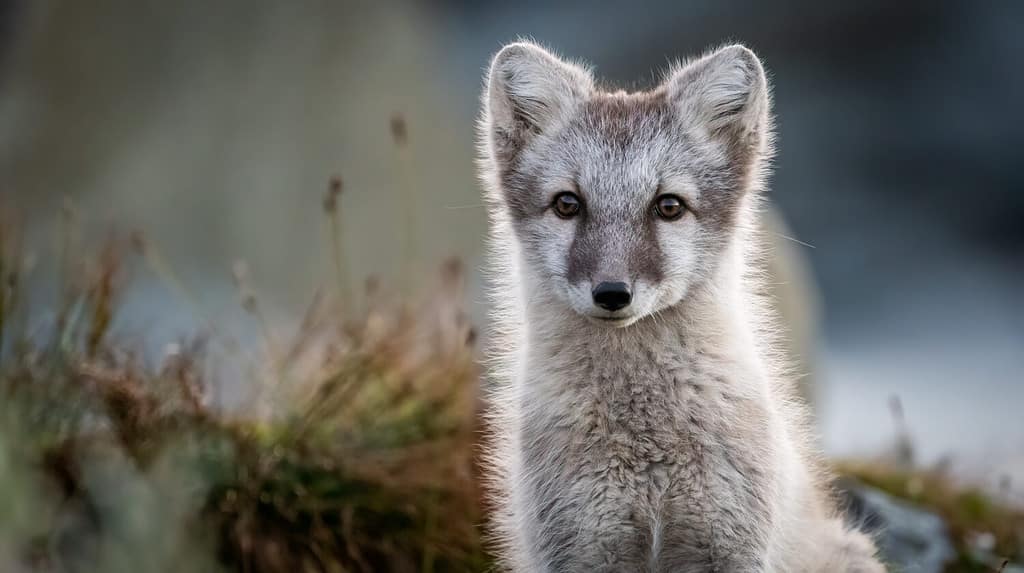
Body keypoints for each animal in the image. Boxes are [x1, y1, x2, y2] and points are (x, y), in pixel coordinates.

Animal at [475, 41, 884, 573]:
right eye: (567, 204)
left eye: (668, 206)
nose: (612, 292)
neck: (647, 439)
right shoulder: (580, 547)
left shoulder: (732, 547)